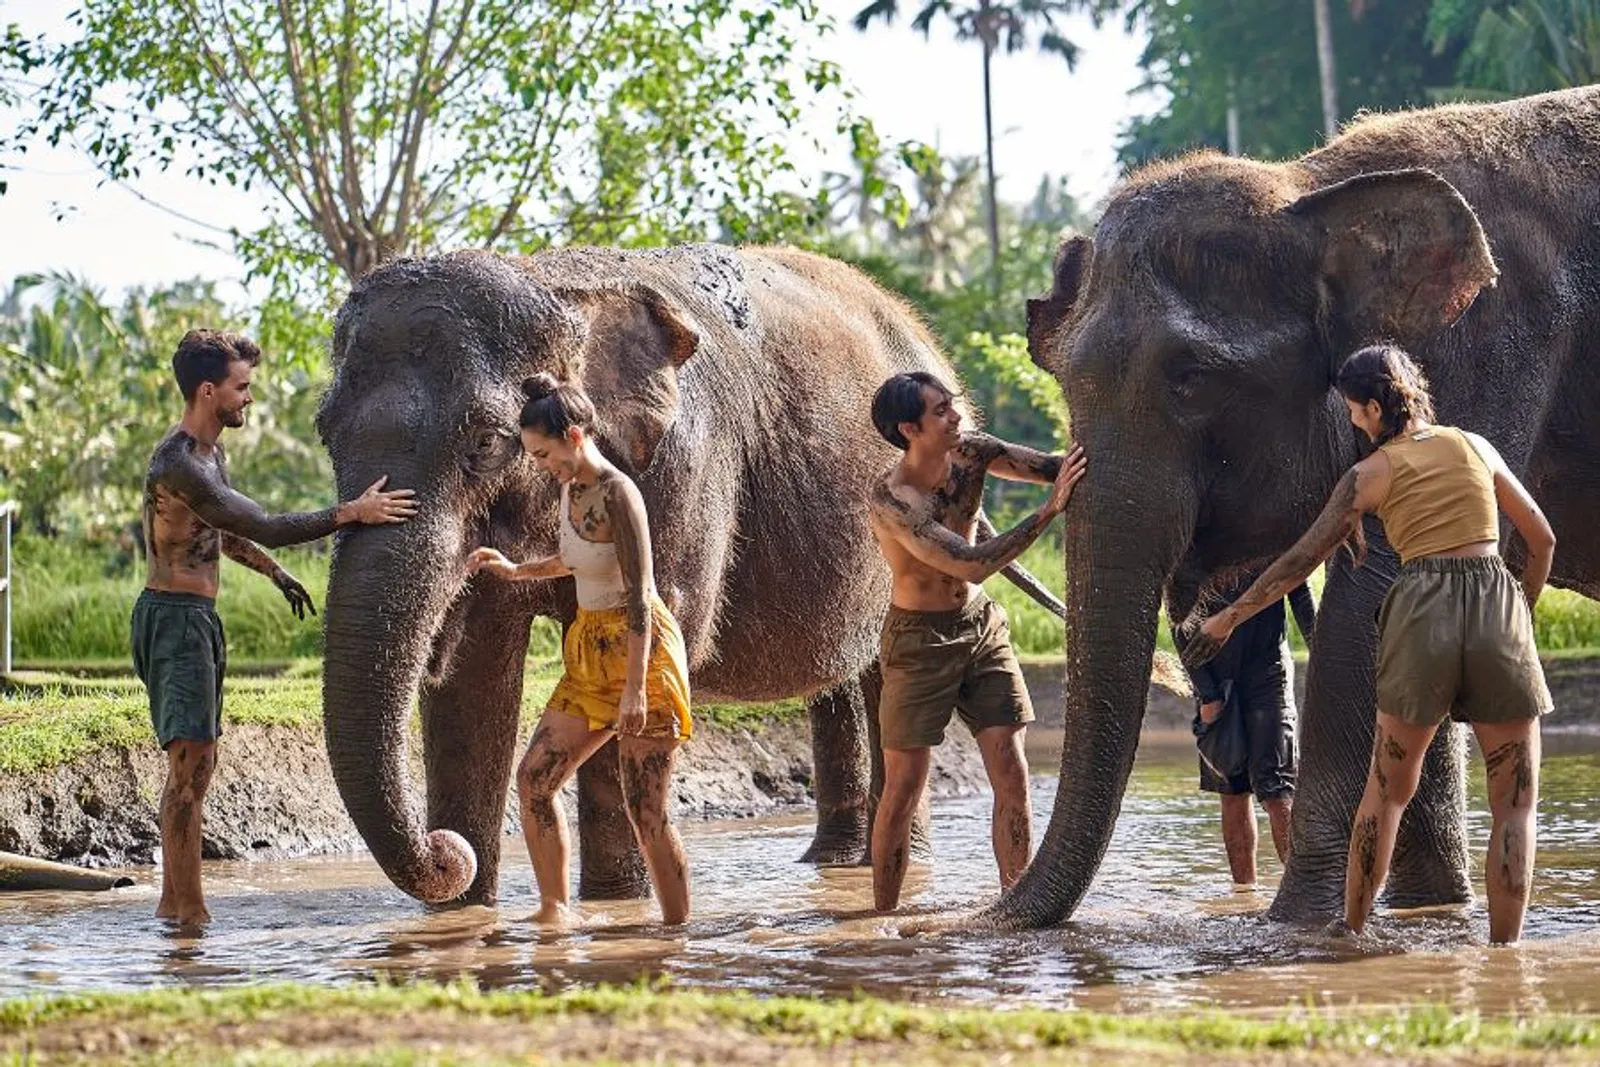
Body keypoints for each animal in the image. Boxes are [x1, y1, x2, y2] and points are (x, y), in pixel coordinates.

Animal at [316, 246, 1056, 908]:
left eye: (486, 442)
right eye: (325, 435)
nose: (444, 850)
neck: (552, 280)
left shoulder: (682, 469)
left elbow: (651, 637)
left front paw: (615, 906)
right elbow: (469, 685)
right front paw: (465, 916)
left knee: (885, 683)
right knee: (839, 679)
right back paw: (832, 860)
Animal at [985, 87, 1600, 927]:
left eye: (1191, 378)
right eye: (1063, 381)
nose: (976, 917)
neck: (1310, 189)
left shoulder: (1488, 348)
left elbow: (1372, 598)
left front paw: (1294, 925)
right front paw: (1422, 908)